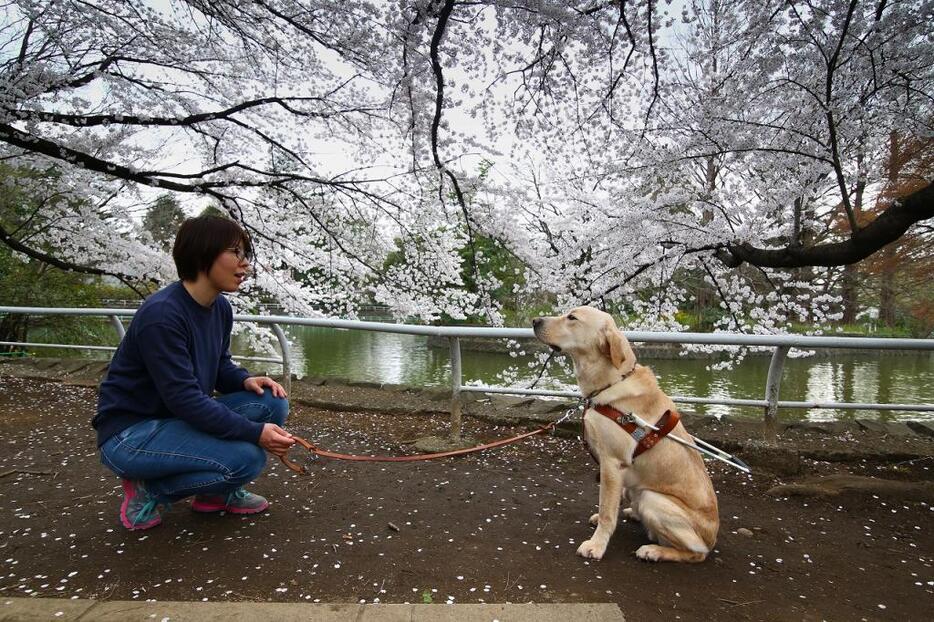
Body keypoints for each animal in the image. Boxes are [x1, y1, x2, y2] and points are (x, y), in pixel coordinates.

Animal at [532, 308, 716, 564]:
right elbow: (610, 503)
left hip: (653, 499)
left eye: (572, 318)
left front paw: (596, 545)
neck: (609, 382)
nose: (534, 321)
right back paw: (634, 514)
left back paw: (653, 550)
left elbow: (607, 511)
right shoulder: (613, 469)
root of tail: (712, 539)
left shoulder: (611, 462)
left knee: (696, 554)